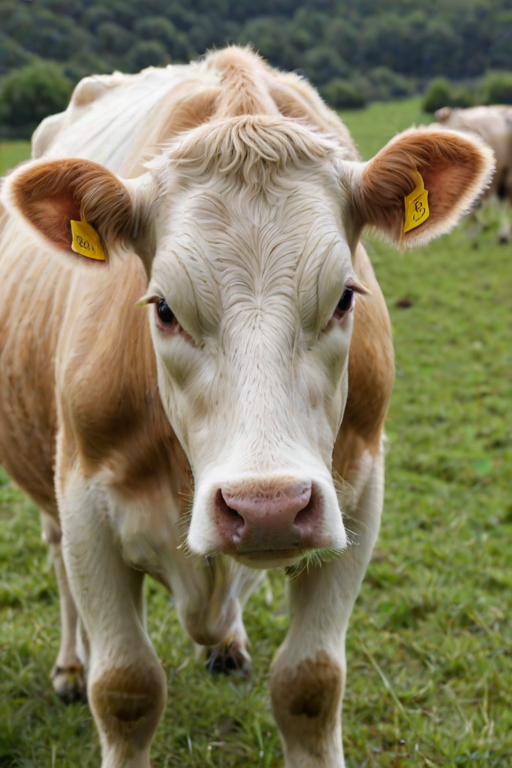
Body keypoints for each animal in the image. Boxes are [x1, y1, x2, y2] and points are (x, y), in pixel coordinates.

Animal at [0, 47, 493, 768]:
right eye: (163, 308)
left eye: (346, 296)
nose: (268, 508)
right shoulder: (85, 499)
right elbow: (124, 688)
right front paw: (95, 675)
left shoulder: (360, 495)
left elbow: (311, 683)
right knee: (58, 559)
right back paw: (69, 665)